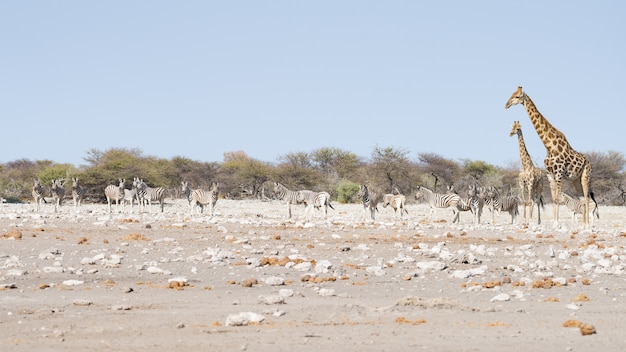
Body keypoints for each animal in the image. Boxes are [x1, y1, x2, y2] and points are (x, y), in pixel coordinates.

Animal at [502, 86, 588, 227]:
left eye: (517, 96)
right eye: (512, 94)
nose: (506, 105)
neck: (549, 146)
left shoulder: (557, 174)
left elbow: (556, 198)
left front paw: (556, 223)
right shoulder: (547, 175)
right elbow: (550, 199)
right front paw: (552, 223)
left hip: (584, 177)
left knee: (586, 197)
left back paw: (587, 225)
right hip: (575, 180)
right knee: (581, 197)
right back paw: (584, 224)